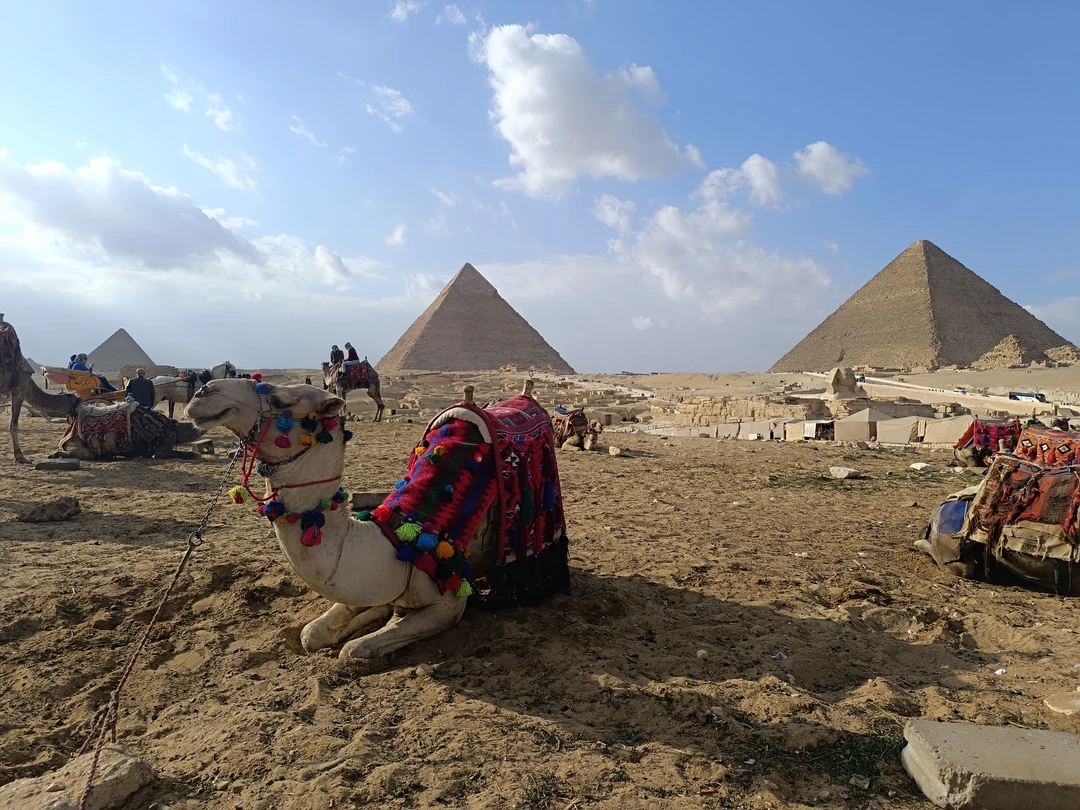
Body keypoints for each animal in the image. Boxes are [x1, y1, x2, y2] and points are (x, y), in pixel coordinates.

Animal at [186, 378, 567, 659]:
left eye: (280, 400)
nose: (203, 393)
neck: (399, 539)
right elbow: (312, 634)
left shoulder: (450, 603)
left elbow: (356, 649)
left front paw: (364, 639)